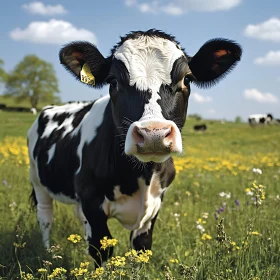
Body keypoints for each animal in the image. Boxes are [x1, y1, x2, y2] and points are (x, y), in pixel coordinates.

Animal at [27, 29, 241, 266]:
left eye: (187, 78)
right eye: (112, 81)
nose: (153, 134)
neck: (141, 175)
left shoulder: (154, 204)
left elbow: (141, 248)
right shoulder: (92, 202)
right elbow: (101, 249)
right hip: (37, 179)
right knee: (45, 216)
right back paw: (47, 253)